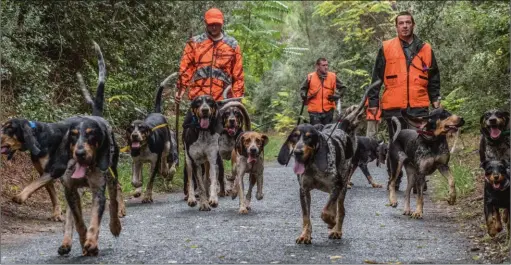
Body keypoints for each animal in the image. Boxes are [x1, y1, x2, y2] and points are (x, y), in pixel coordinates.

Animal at [55, 42, 122, 255]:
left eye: (92, 135)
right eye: (74, 135)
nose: (80, 153)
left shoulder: (98, 190)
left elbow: (95, 219)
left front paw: (91, 242)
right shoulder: (69, 190)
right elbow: (77, 220)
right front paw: (84, 239)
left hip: (112, 175)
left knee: (114, 201)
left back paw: (115, 225)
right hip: (70, 191)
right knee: (70, 216)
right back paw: (66, 242)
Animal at [125, 73, 179, 201]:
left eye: (142, 128)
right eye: (130, 128)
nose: (134, 135)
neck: (144, 147)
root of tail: (157, 112)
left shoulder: (155, 163)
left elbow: (150, 181)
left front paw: (147, 196)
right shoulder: (136, 161)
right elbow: (136, 180)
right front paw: (138, 187)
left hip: (167, 146)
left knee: (164, 159)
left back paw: (164, 170)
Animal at [276, 81, 376, 242]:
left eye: (309, 138)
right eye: (294, 137)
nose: (297, 152)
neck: (312, 166)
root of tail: (342, 125)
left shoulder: (337, 185)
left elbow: (326, 212)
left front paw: (331, 222)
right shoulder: (303, 191)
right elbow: (306, 217)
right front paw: (305, 235)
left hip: (343, 186)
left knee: (340, 210)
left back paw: (336, 229)